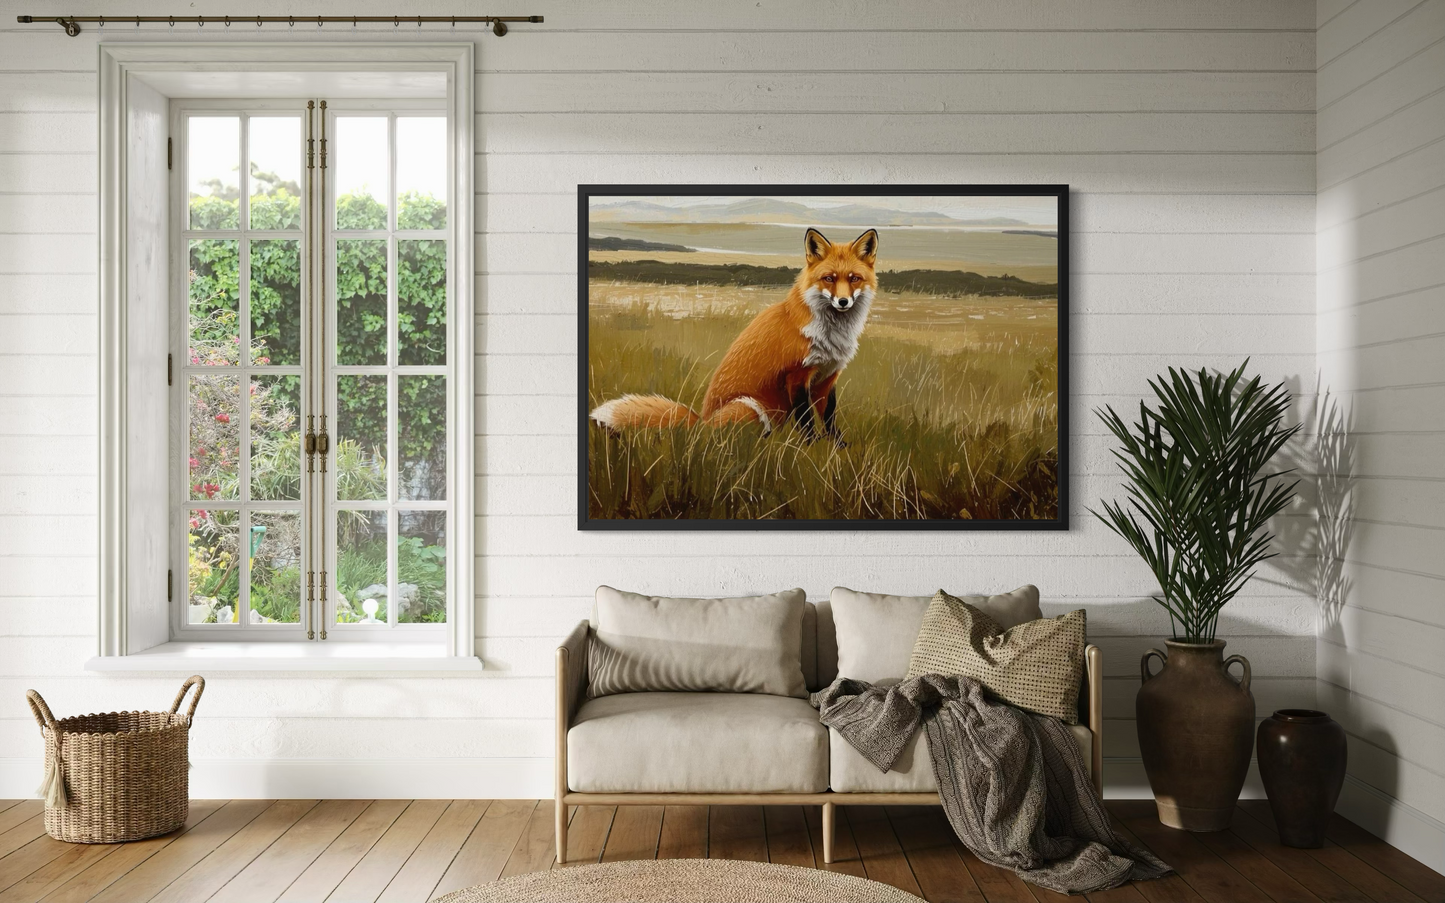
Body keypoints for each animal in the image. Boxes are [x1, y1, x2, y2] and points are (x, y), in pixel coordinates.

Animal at [589, 227, 879, 445]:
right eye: (829, 278)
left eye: (854, 278)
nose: (843, 302)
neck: (831, 334)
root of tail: (701, 421)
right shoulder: (797, 376)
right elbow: (806, 419)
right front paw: (810, 447)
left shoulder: (827, 376)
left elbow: (829, 418)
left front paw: (837, 446)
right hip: (750, 408)